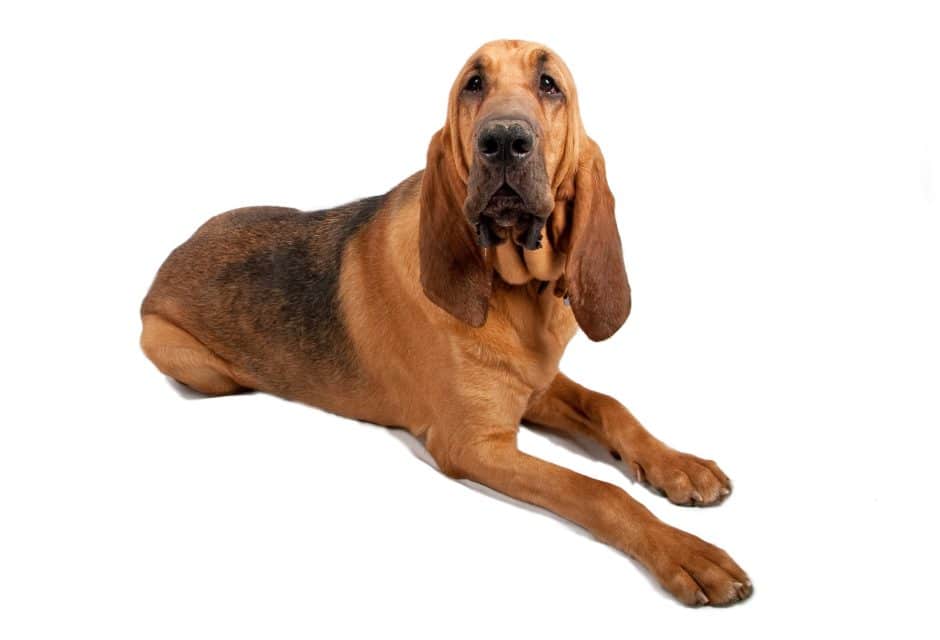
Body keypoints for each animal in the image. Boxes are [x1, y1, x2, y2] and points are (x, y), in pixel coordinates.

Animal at [140, 40, 752, 604]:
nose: (503, 141)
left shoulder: (536, 388)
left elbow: (610, 405)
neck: (515, 289)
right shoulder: (473, 445)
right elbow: (598, 490)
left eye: (549, 83)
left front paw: (679, 466)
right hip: (184, 357)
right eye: (473, 84)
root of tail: (174, 250)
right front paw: (687, 553)